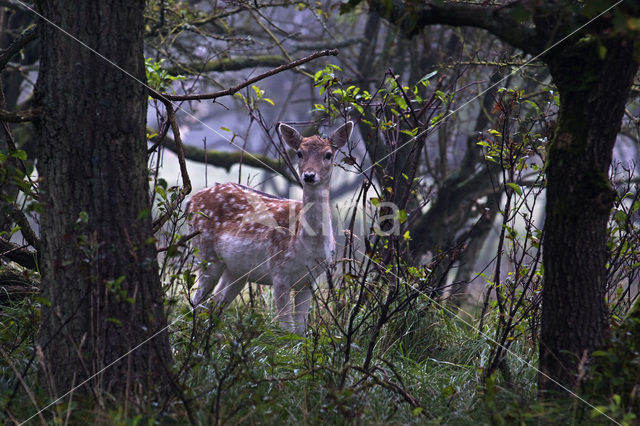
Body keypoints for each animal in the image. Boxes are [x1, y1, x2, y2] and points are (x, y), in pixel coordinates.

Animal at [188, 121, 352, 334]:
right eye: (299, 153)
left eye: (328, 154)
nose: (309, 175)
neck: (304, 245)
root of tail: (191, 200)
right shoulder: (279, 273)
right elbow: (287, 330)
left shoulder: (309, 280)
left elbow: (301, 332)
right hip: (205, 253)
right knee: (197, 301)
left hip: (235, 270)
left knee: (215, 302)